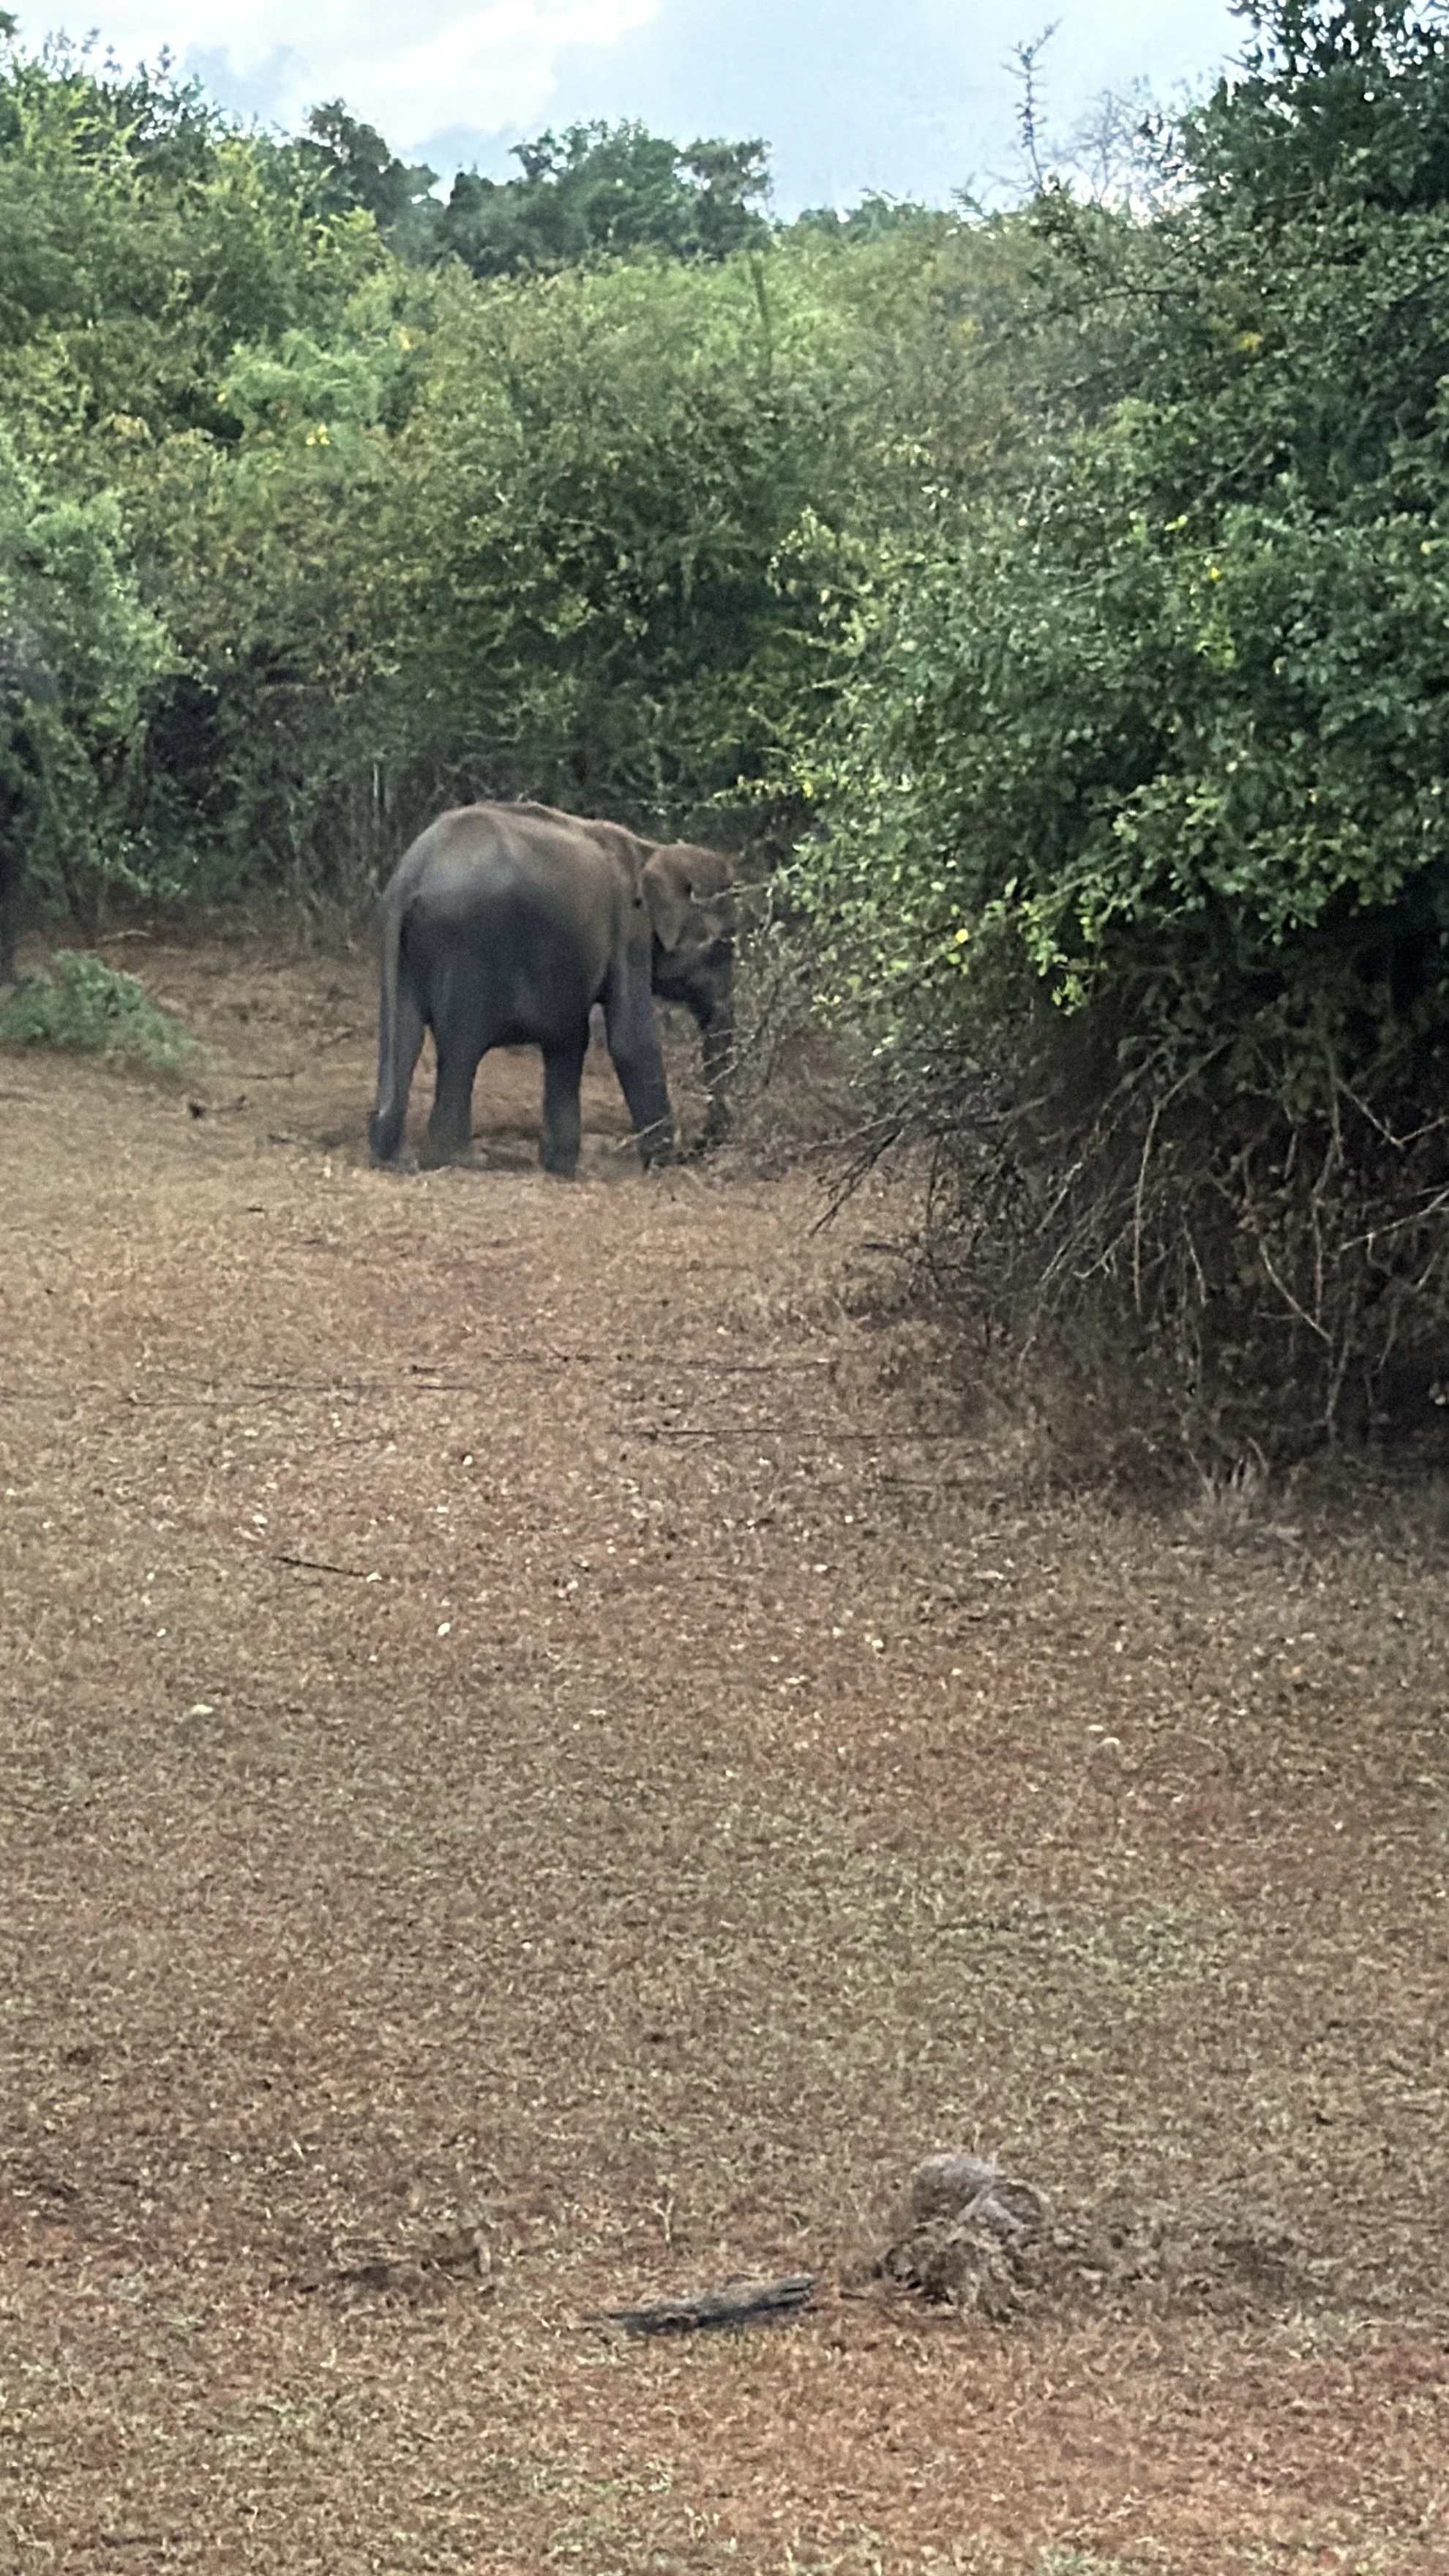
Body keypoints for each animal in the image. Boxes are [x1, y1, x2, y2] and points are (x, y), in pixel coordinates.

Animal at [368, 800, 736, 1176]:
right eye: (723, 947)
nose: (695, 1148)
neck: (650, 851)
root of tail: (412, 877)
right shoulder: (629, 928)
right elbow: (631, 1040)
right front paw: (663, 1164)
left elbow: (569, 1037)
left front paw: (560, 1166)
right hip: (466, 946)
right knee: (461, 1047)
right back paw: (460, 1159)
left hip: (402, 946)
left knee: (405, 1033)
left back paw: (398, 1159)